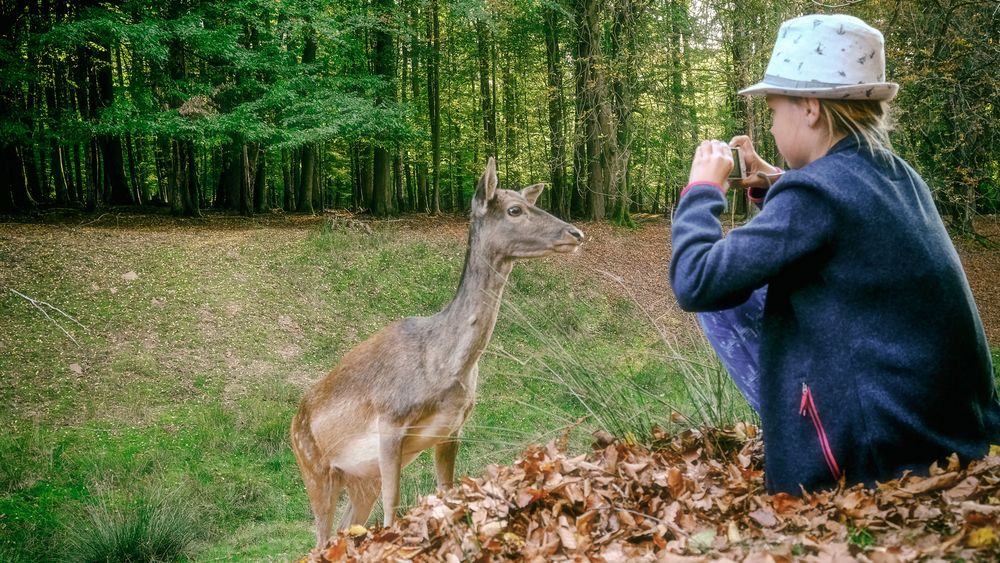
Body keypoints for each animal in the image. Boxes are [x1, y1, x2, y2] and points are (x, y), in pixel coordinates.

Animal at [290, 158, 584, 548]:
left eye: (528, 201)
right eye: (514, 209)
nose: (576, 233)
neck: (444, 366)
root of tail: (292, 423)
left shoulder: (452, 427)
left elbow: (447, 492)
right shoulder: (390, 421)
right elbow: (393, 507)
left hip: (359, 478)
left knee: (345, 526)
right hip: (314, 467)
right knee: (320, 539)